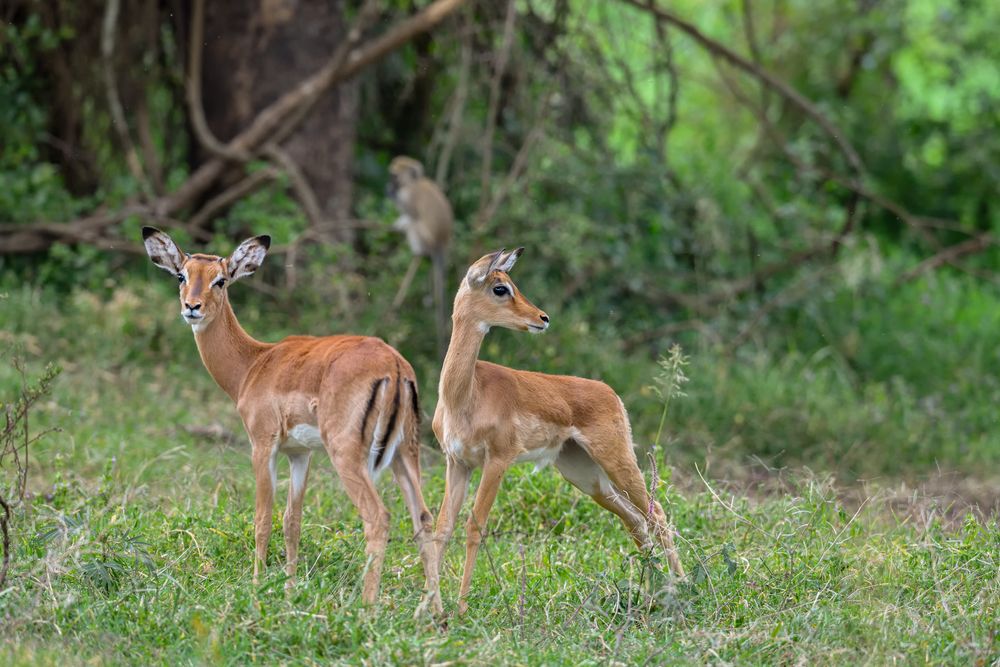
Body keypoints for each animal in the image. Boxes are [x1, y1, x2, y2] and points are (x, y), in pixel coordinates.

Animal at [388, 156, 456, 358]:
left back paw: (416, 251)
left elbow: (409, 212)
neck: (415, 182)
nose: (391, 186)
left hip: (423, 237)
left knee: (413, 222)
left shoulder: (408, 195)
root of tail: (440, 245)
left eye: (395, 176)